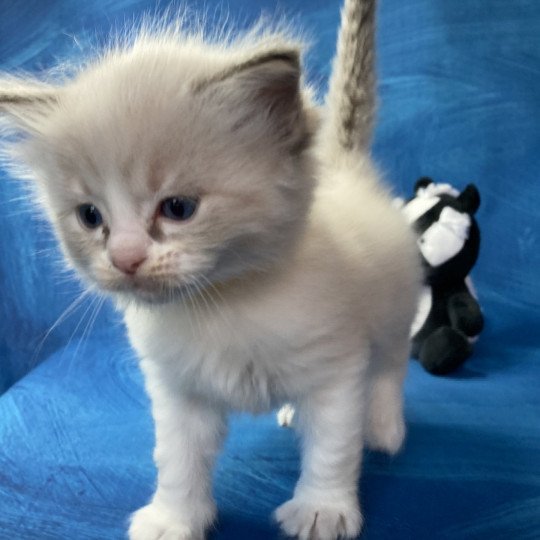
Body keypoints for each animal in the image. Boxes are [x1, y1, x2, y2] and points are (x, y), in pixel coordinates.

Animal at [0, 1, 420, 540]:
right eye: (91, 217)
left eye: (178, 208)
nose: (125, 259)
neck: (221, 303)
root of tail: (346, 167)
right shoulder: (179, 392)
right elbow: (178, 461)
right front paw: (173, 519)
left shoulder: (337, 369)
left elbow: (332, 448)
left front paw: (322, 509)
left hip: (395, 306)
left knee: (391, 366)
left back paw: (384, 426)